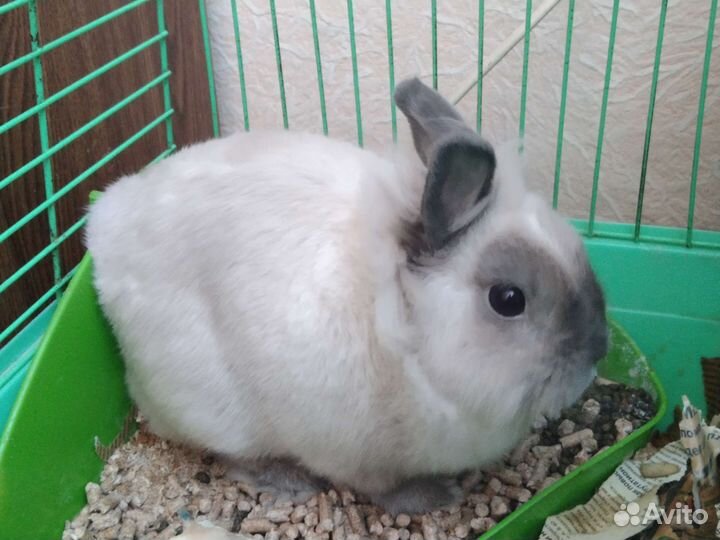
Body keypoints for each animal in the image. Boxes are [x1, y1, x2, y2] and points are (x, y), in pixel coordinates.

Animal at [86, 77, 608, 514]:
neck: (406, 339)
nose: (596, 352)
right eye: (508, 298)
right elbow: (384, 489)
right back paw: (289, 481)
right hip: (215, 410)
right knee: (231, 455)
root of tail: (105, 225)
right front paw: (437, 495)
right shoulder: (358, 454)